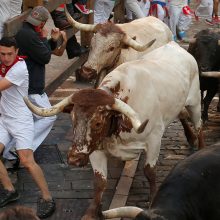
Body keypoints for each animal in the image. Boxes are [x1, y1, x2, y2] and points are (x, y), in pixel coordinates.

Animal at [24, 41, 205, 220]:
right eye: (73, 119)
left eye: (97, 123)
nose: (74, 159)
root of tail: (175, 45)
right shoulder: (95, 147)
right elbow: (99, 181)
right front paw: (91, 212)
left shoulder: (154, 140)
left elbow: (150, 172)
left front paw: (153, 198)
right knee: (182, 115)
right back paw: (190, 138)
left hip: (195, 102)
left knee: (199, 124)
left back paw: (200, 148)